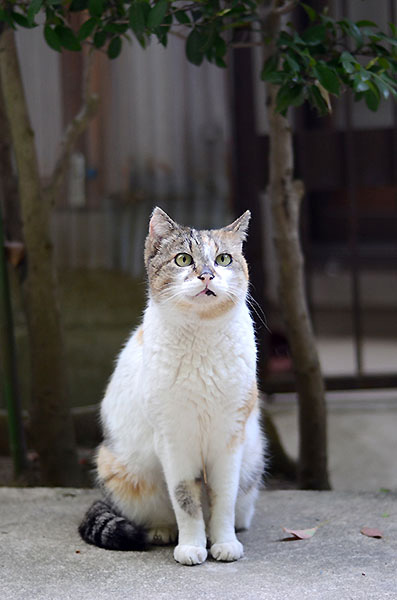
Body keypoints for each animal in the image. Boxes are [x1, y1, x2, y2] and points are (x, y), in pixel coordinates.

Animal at [78, 209, 264, 564]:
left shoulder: (229, 437)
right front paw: (192, 546)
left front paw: (224, 542)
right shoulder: (174, 438)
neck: (202, 337)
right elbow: (185, 500)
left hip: (253, 456)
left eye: (223, 259)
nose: (206, 275)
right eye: (183, 259)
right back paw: (162, 531)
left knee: (241, 504)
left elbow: (223, 498)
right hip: (118, 467)